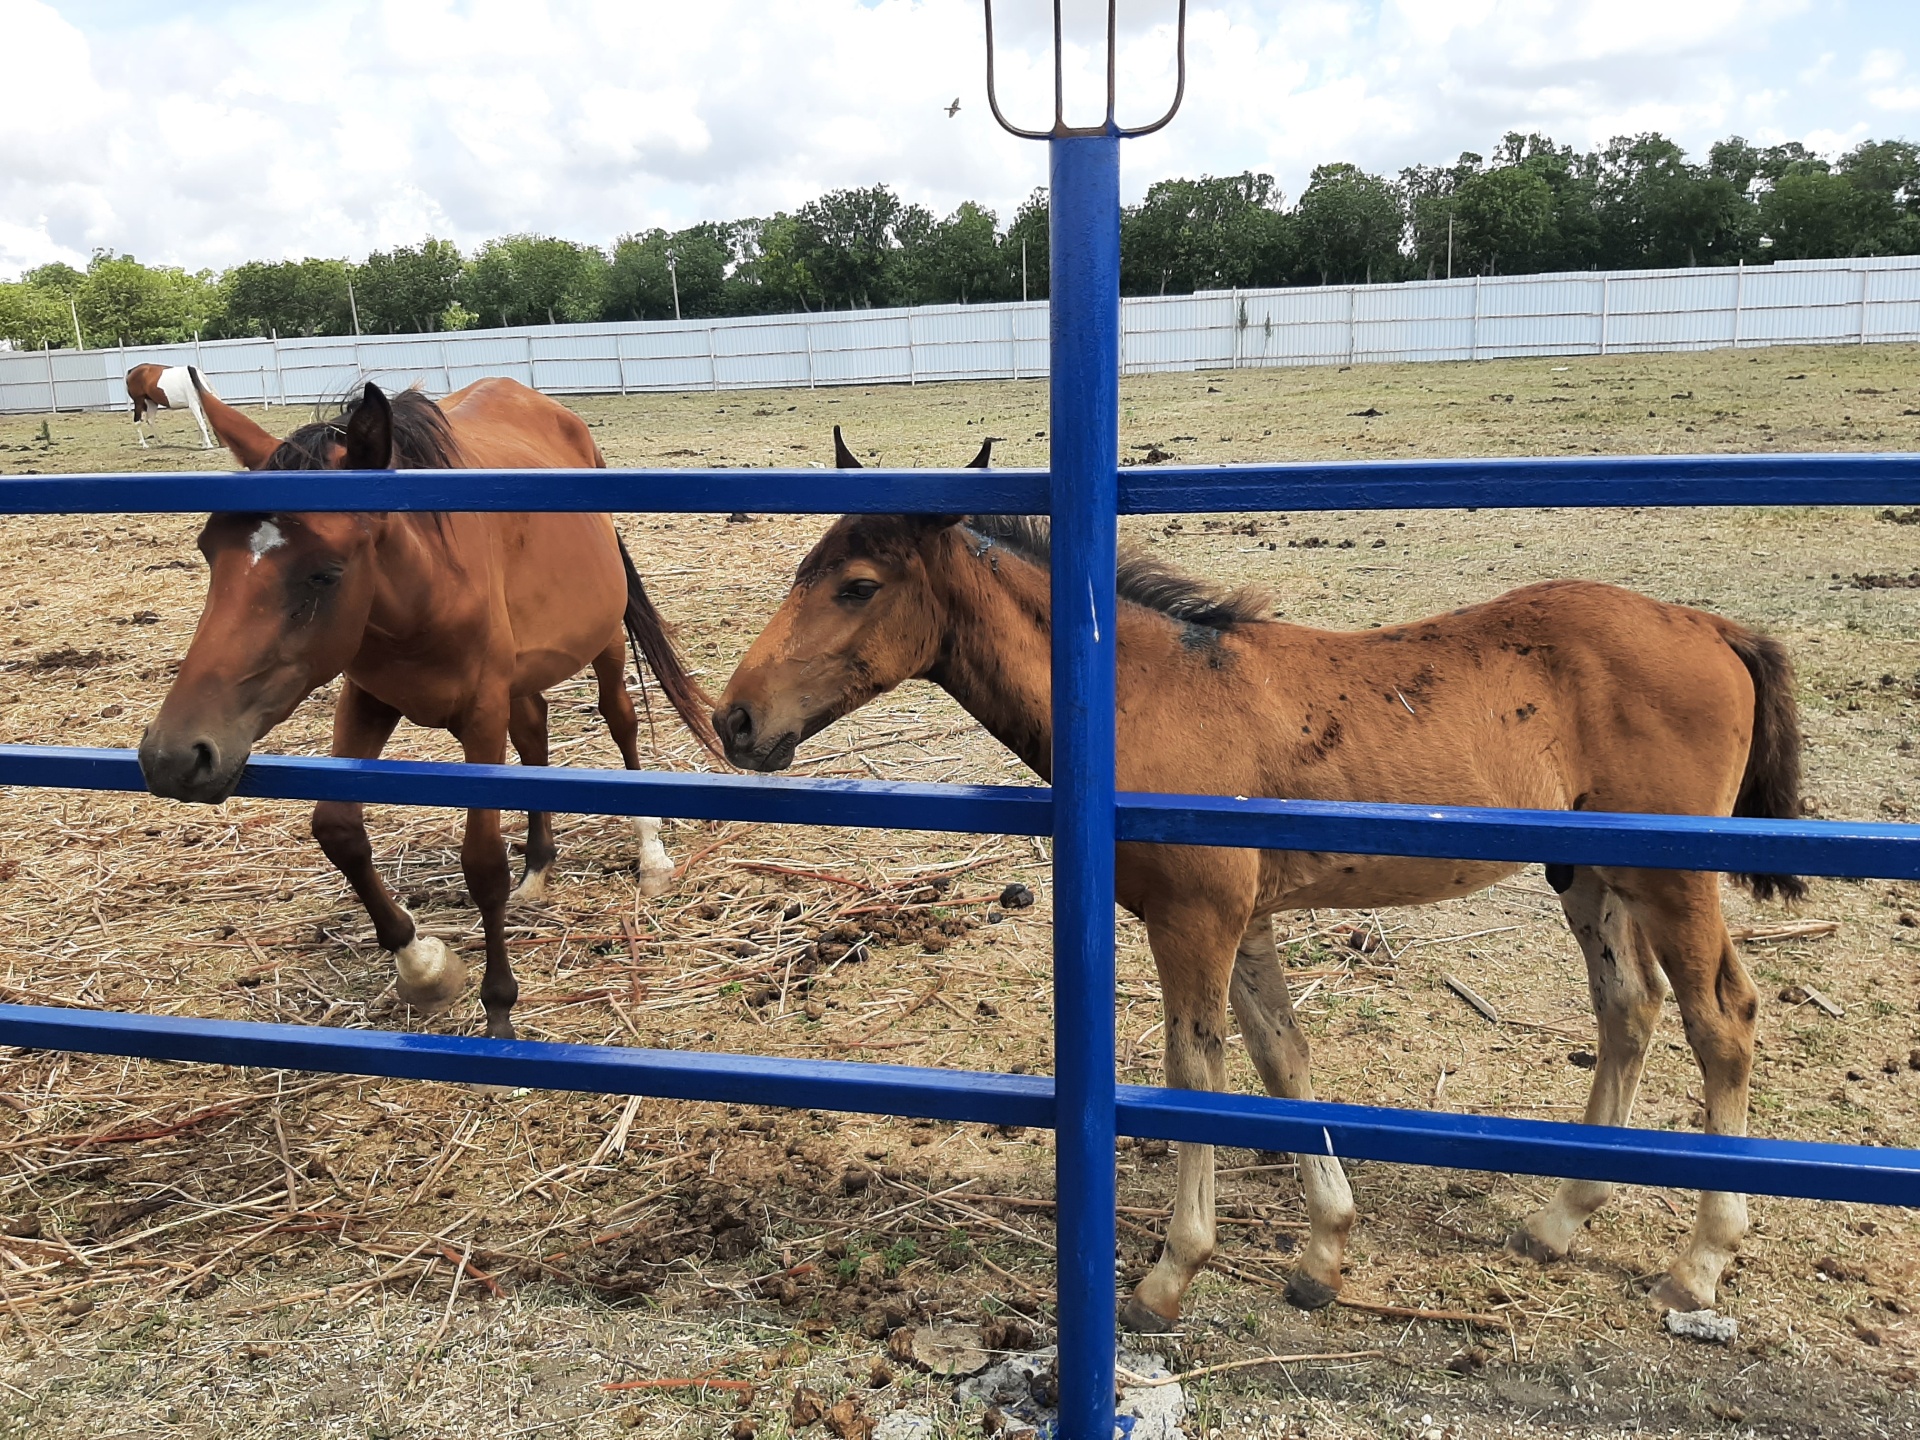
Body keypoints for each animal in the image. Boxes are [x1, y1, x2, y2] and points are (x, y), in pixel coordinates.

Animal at [139, 378, 718, 1044]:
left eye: (325, 574)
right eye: (210, 552)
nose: (173, 755)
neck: (424, 588)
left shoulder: (481, 715)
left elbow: (483, 864)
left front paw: (498, 1011)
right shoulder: (368, 700)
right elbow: (338, 829)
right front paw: (424, 968)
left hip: (603, 639)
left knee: (620, 719)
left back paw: (651, 856)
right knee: (535, 731)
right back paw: (538, 870)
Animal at [718, 426, 1797, 1328]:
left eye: (858, 585)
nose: (735, 718)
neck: (1143, 691)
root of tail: (1708, 625)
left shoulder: (1193, 917)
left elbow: (1196, 1073)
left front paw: (1167, 1276)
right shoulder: (1244, 916)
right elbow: (1284, 1057)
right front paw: (1323, 1256)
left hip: (1673, 878)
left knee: (1721, 1020)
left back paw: (1700, 1262)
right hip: (1593, 873)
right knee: (1629, 1008)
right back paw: (1560, 1217)